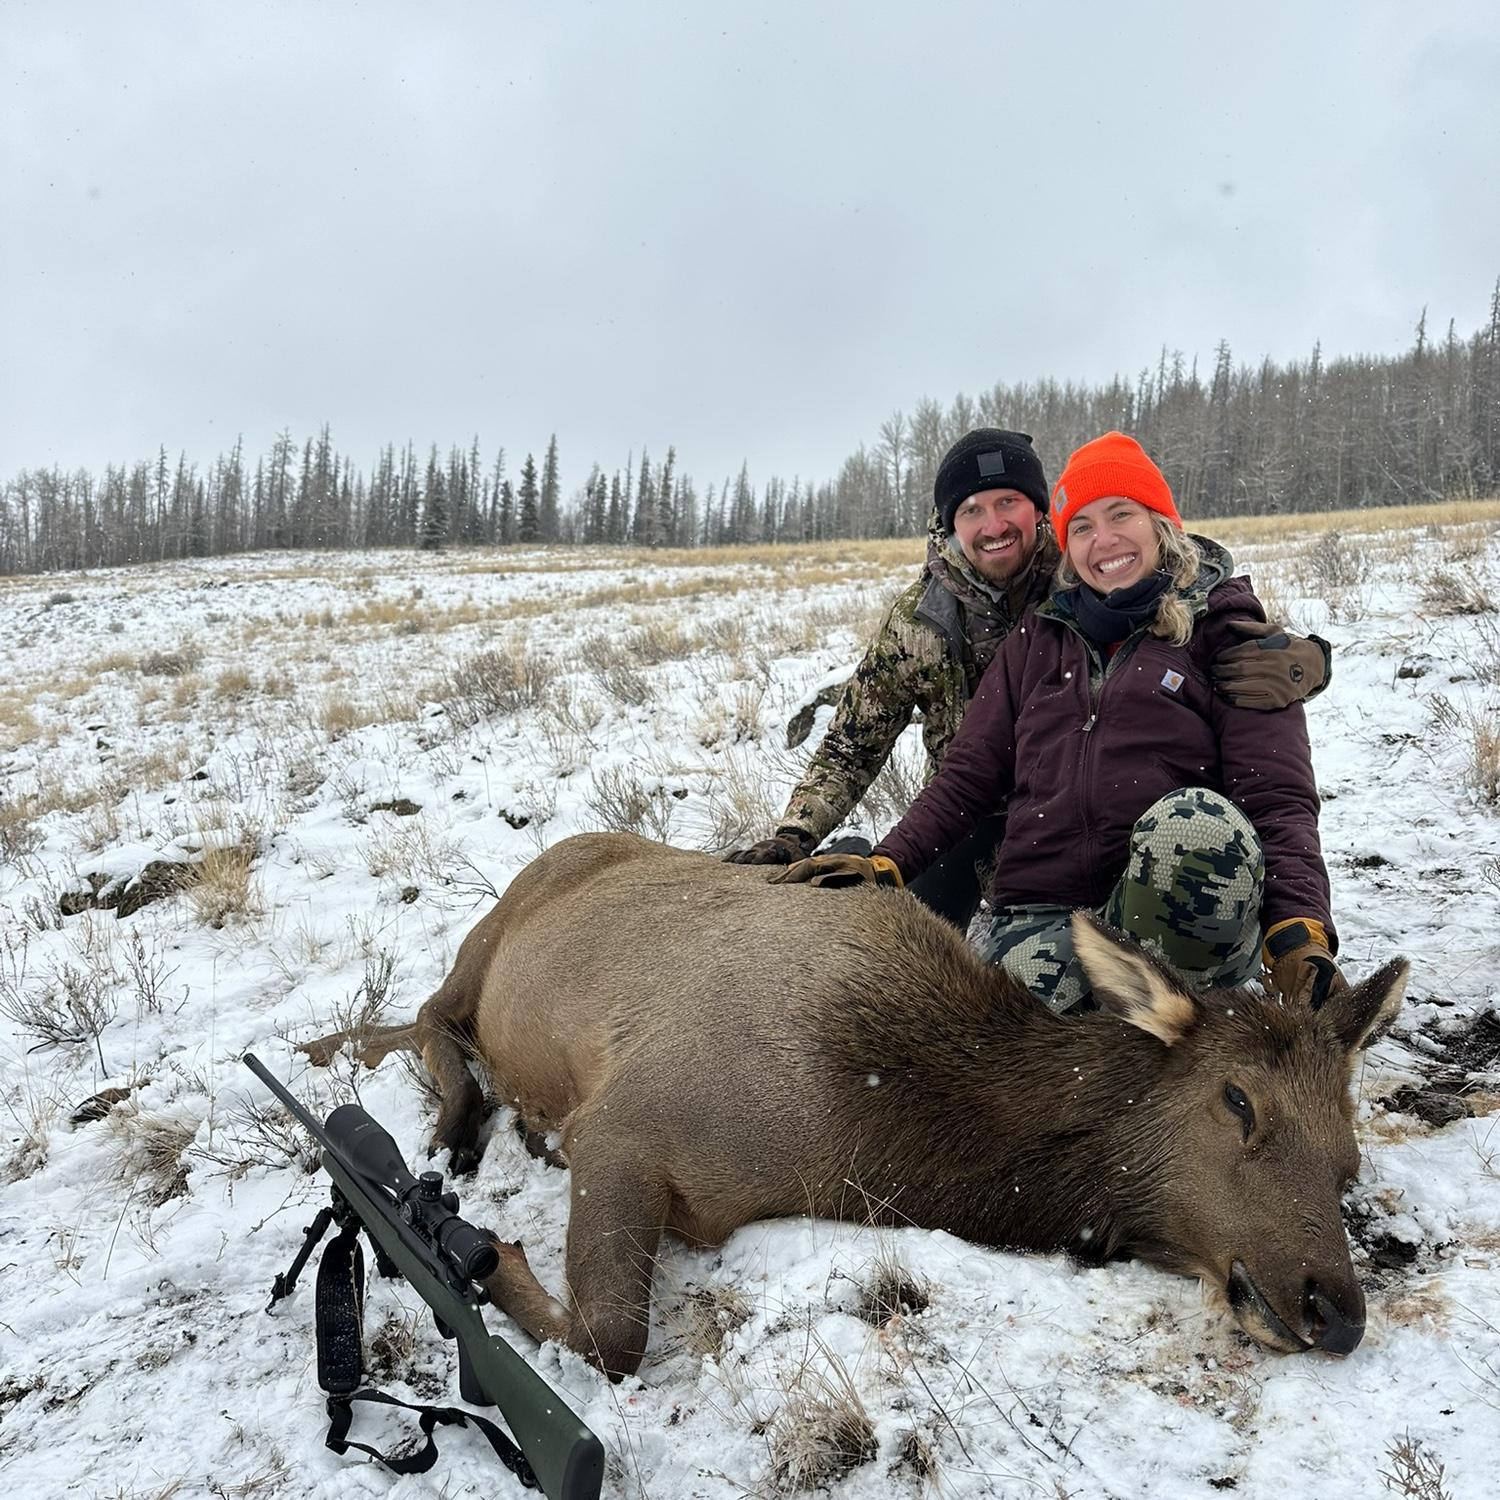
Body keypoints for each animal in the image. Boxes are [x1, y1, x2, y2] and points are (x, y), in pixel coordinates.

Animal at [300, 832, 1407, 1381]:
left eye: (1348, 1160)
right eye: (1238, 1100)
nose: (1335, 1309)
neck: (880, 1121)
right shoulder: (624, 1124)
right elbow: (611, 1337)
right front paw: (486, 1251)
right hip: (491, 936)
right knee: (428, 1016)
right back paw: (434, 1108)